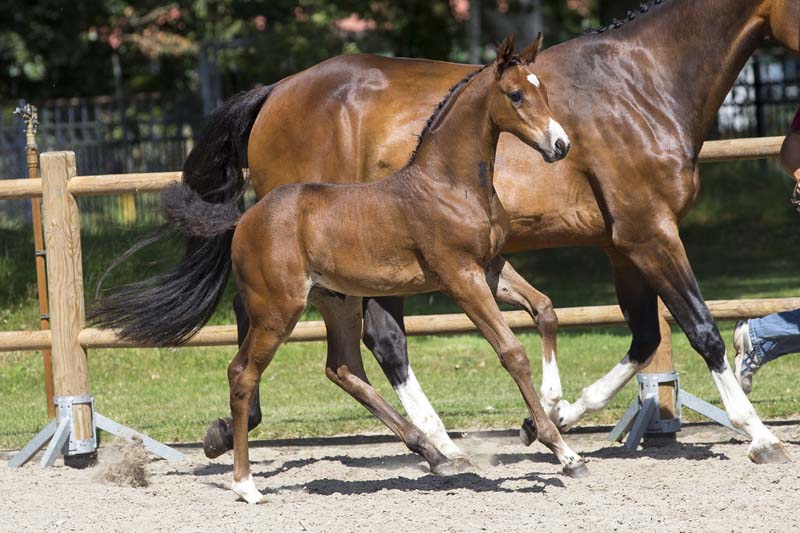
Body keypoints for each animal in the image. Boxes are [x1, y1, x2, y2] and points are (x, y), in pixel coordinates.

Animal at [100, 35, 588, 500]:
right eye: (515, 94)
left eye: (543, 91)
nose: (560, 145)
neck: (448, 182)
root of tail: (245, 218)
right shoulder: (459, 276)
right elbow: (511, 352)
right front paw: (560, 449)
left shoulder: (490, 267)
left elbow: (545, 309)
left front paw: (554, 411)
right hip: (279, 310)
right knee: (244, 373)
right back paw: (246, 485)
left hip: (338, 301)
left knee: (343, 368)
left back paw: (433, 454)